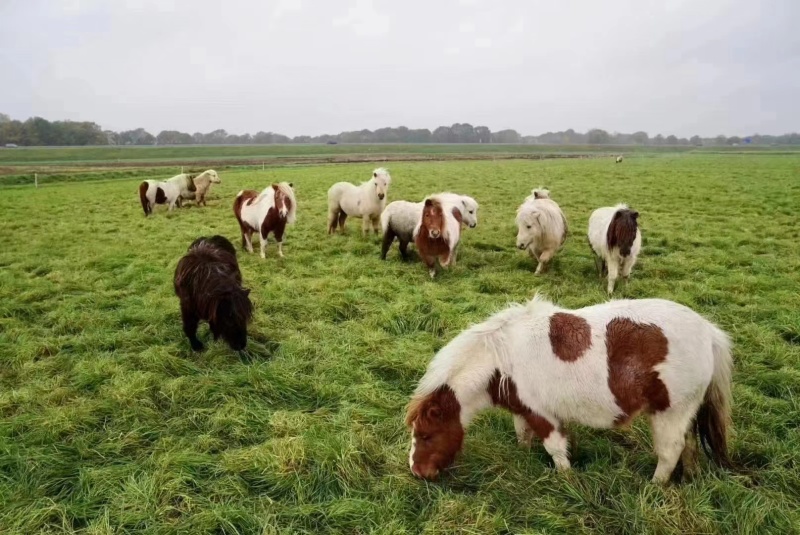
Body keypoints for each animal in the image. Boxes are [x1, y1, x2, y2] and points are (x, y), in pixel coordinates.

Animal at [404, 296, 736, 484]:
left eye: (426, 436)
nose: (418, 472)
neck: (502, 358)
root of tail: (709, 332)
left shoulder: (544, 415)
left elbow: (555, 449)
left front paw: (567, 480)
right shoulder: (523, 409)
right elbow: (522, 435)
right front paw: (524, 459)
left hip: (669, 413)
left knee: (670, 452)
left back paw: (655, 487)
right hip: (684, 414)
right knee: (689, 445)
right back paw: (688, 478)